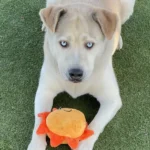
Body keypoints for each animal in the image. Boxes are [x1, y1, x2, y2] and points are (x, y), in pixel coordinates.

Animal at [27, 0, 136, 150]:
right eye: (63, 43)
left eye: (89, 45)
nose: (76, 74)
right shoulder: (45, 91)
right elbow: (39, 120)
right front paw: (36, 145)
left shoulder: (112, 100)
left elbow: (95, 126)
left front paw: (84, 145)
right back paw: (45, 24)